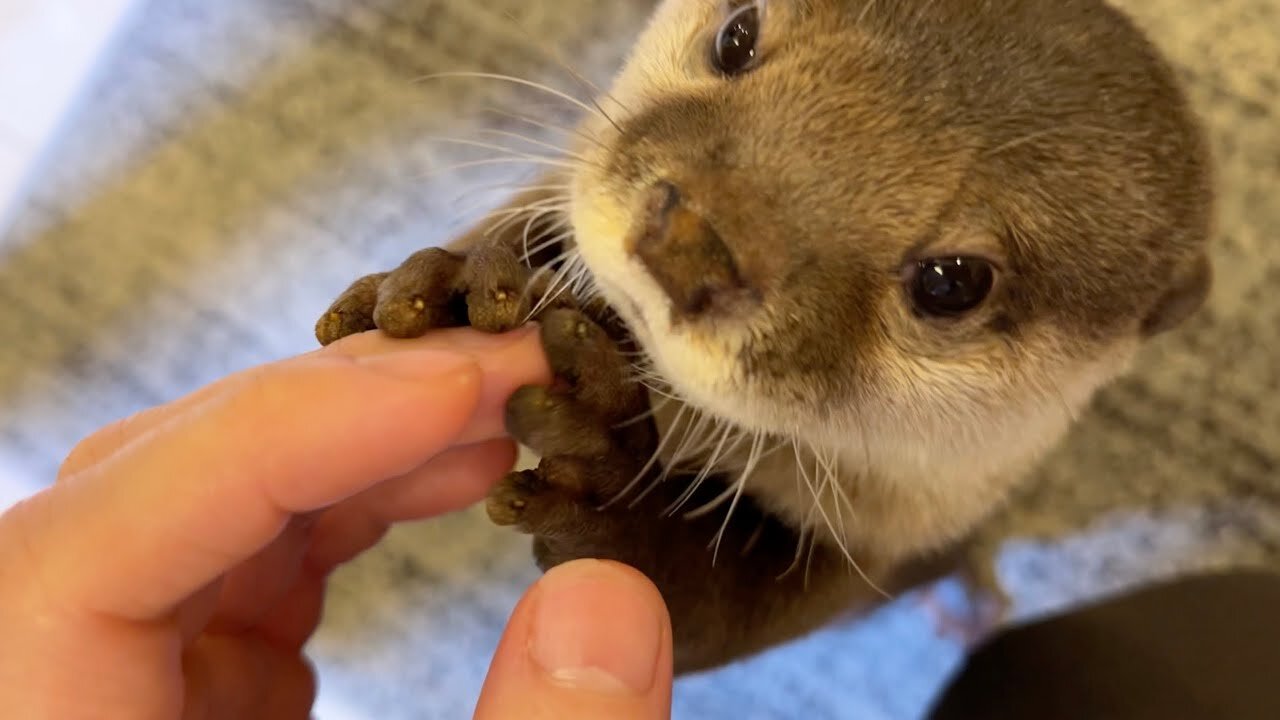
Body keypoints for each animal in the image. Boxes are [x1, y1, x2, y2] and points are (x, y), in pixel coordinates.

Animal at [309, 0, 1208, 671]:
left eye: (953, 281)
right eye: (736, 36)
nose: (689, 246)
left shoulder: (886, 544)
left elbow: (698, 614)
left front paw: (607, 476)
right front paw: (456, 276)